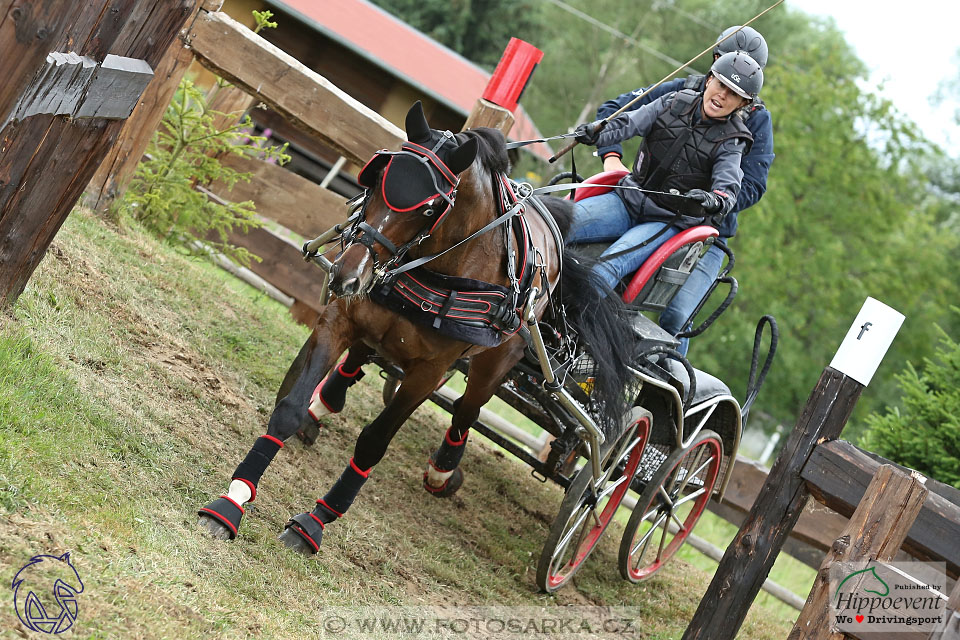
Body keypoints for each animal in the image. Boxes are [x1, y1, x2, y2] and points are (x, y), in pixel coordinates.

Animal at [197, 102, 636, 556]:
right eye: (376, 180)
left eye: (429, 209)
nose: (346, 276)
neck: (442, 266)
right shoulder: (340, 319)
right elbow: (289, 407)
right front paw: (231, 502)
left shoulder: (429, 371)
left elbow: (374, 443)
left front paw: (313, 524)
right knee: (360, 360)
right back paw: (329, 399)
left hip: (499, 359)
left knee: (467, 410)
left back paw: (445, 470)